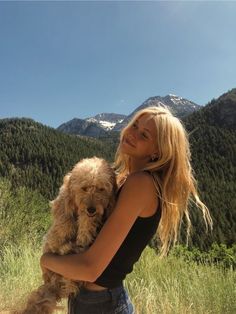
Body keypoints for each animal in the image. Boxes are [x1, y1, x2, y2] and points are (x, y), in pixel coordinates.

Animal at [18, 157, 117, 314]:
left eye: (101, 189)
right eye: (84, 188)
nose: (91, 209)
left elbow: (86, 224)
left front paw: (85, 230)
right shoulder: (63, 201)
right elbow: (64, 214)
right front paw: (68, 226)